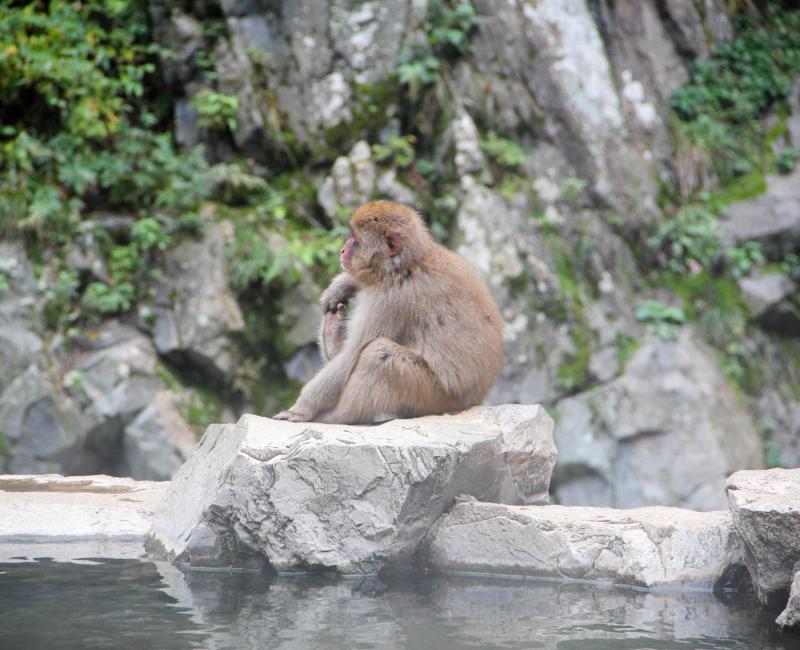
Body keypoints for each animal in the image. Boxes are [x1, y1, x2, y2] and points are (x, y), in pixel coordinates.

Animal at [273, 200, 503, 425]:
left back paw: (338, 416)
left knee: (378, 355)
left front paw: (300, 409)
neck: (402, 266)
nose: (342, 251)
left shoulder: (391, 301)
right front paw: (342, 285)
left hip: (431, 396)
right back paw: (332, 332)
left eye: (354, 238)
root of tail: (473, 401)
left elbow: (351, 356)